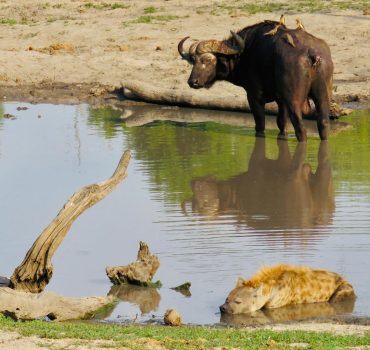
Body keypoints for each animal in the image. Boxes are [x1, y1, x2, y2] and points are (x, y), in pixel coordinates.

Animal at [178, 19, 334, 142]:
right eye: (193, 60)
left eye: (207, 60)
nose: (192, 82)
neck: (245, 52)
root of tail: (311, 53)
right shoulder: (281, 100)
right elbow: (281, 123)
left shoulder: (254, 96)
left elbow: (260, 124)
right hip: (323, 97)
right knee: (323, 123)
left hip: (294, 100)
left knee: (300, 127)